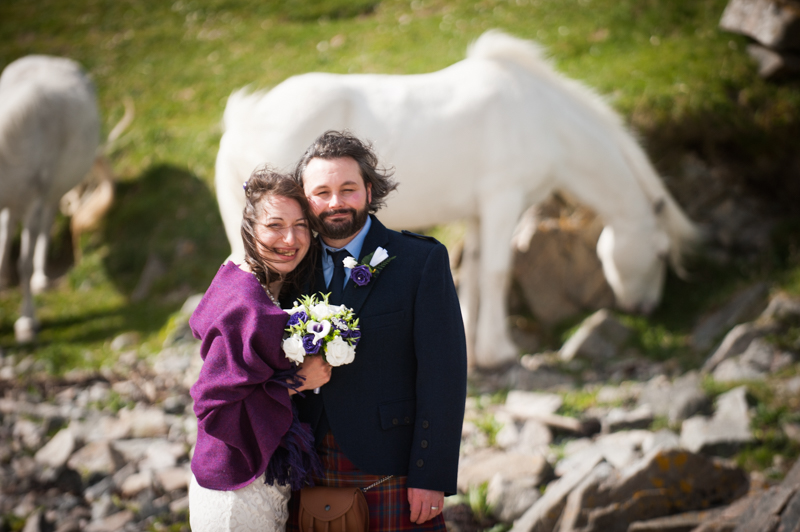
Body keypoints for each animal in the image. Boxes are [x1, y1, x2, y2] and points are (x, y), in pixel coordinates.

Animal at [0, 56, 103, 342]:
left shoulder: (35, 199)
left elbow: (24, 263)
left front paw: (27, 323)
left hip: (52, 190)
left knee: (46, 221)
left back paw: (41, 280)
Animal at [216, 31, 696, 368]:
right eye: (659, 253)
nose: (646, 308)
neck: (542, 117)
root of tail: (244, 119)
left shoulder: (480, 213)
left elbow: (475, 272)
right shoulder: (504, 201)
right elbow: (498, 273)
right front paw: (499, 353)